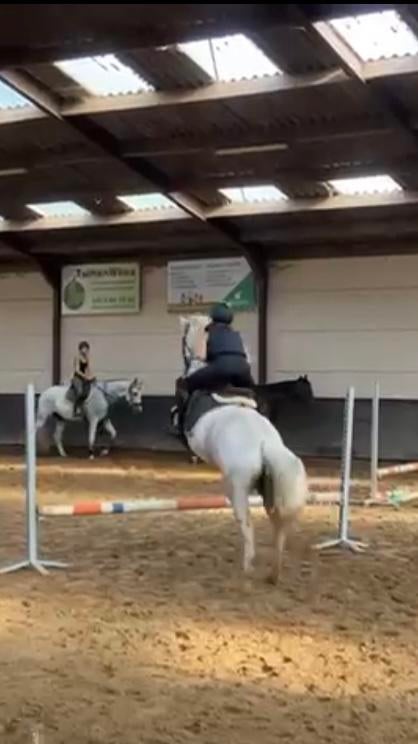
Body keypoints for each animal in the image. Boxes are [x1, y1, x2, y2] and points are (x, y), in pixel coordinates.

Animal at [179, 314, 308, 583]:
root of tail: (265, 443)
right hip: (270, 491)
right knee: (278, 529)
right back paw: (273, 573)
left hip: (237, 486)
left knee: (246, 524)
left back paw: (247, 567)